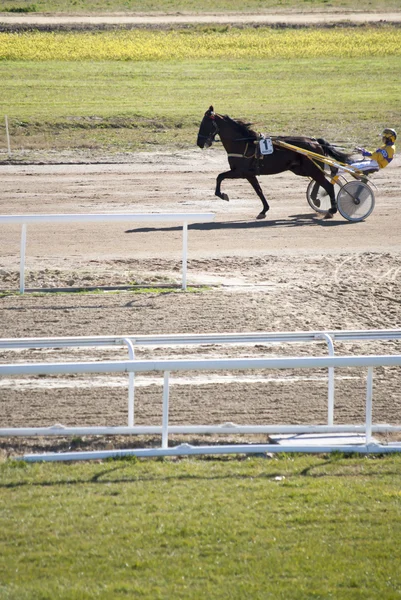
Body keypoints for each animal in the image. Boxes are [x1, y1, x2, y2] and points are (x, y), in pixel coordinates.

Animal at [196, 107, 350, 220]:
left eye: (204, 124)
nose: (199, 143)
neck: (243, 144)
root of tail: (315, 141)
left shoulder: (240, 172)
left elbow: (220, 177)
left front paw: (222, 195)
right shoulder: (249, 174)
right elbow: (259, 191)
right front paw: (264, 211)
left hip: (311, 168)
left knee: (328, 185)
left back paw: (331, 209)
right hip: (303, 169)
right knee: (323, 180)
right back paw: (316, 198)